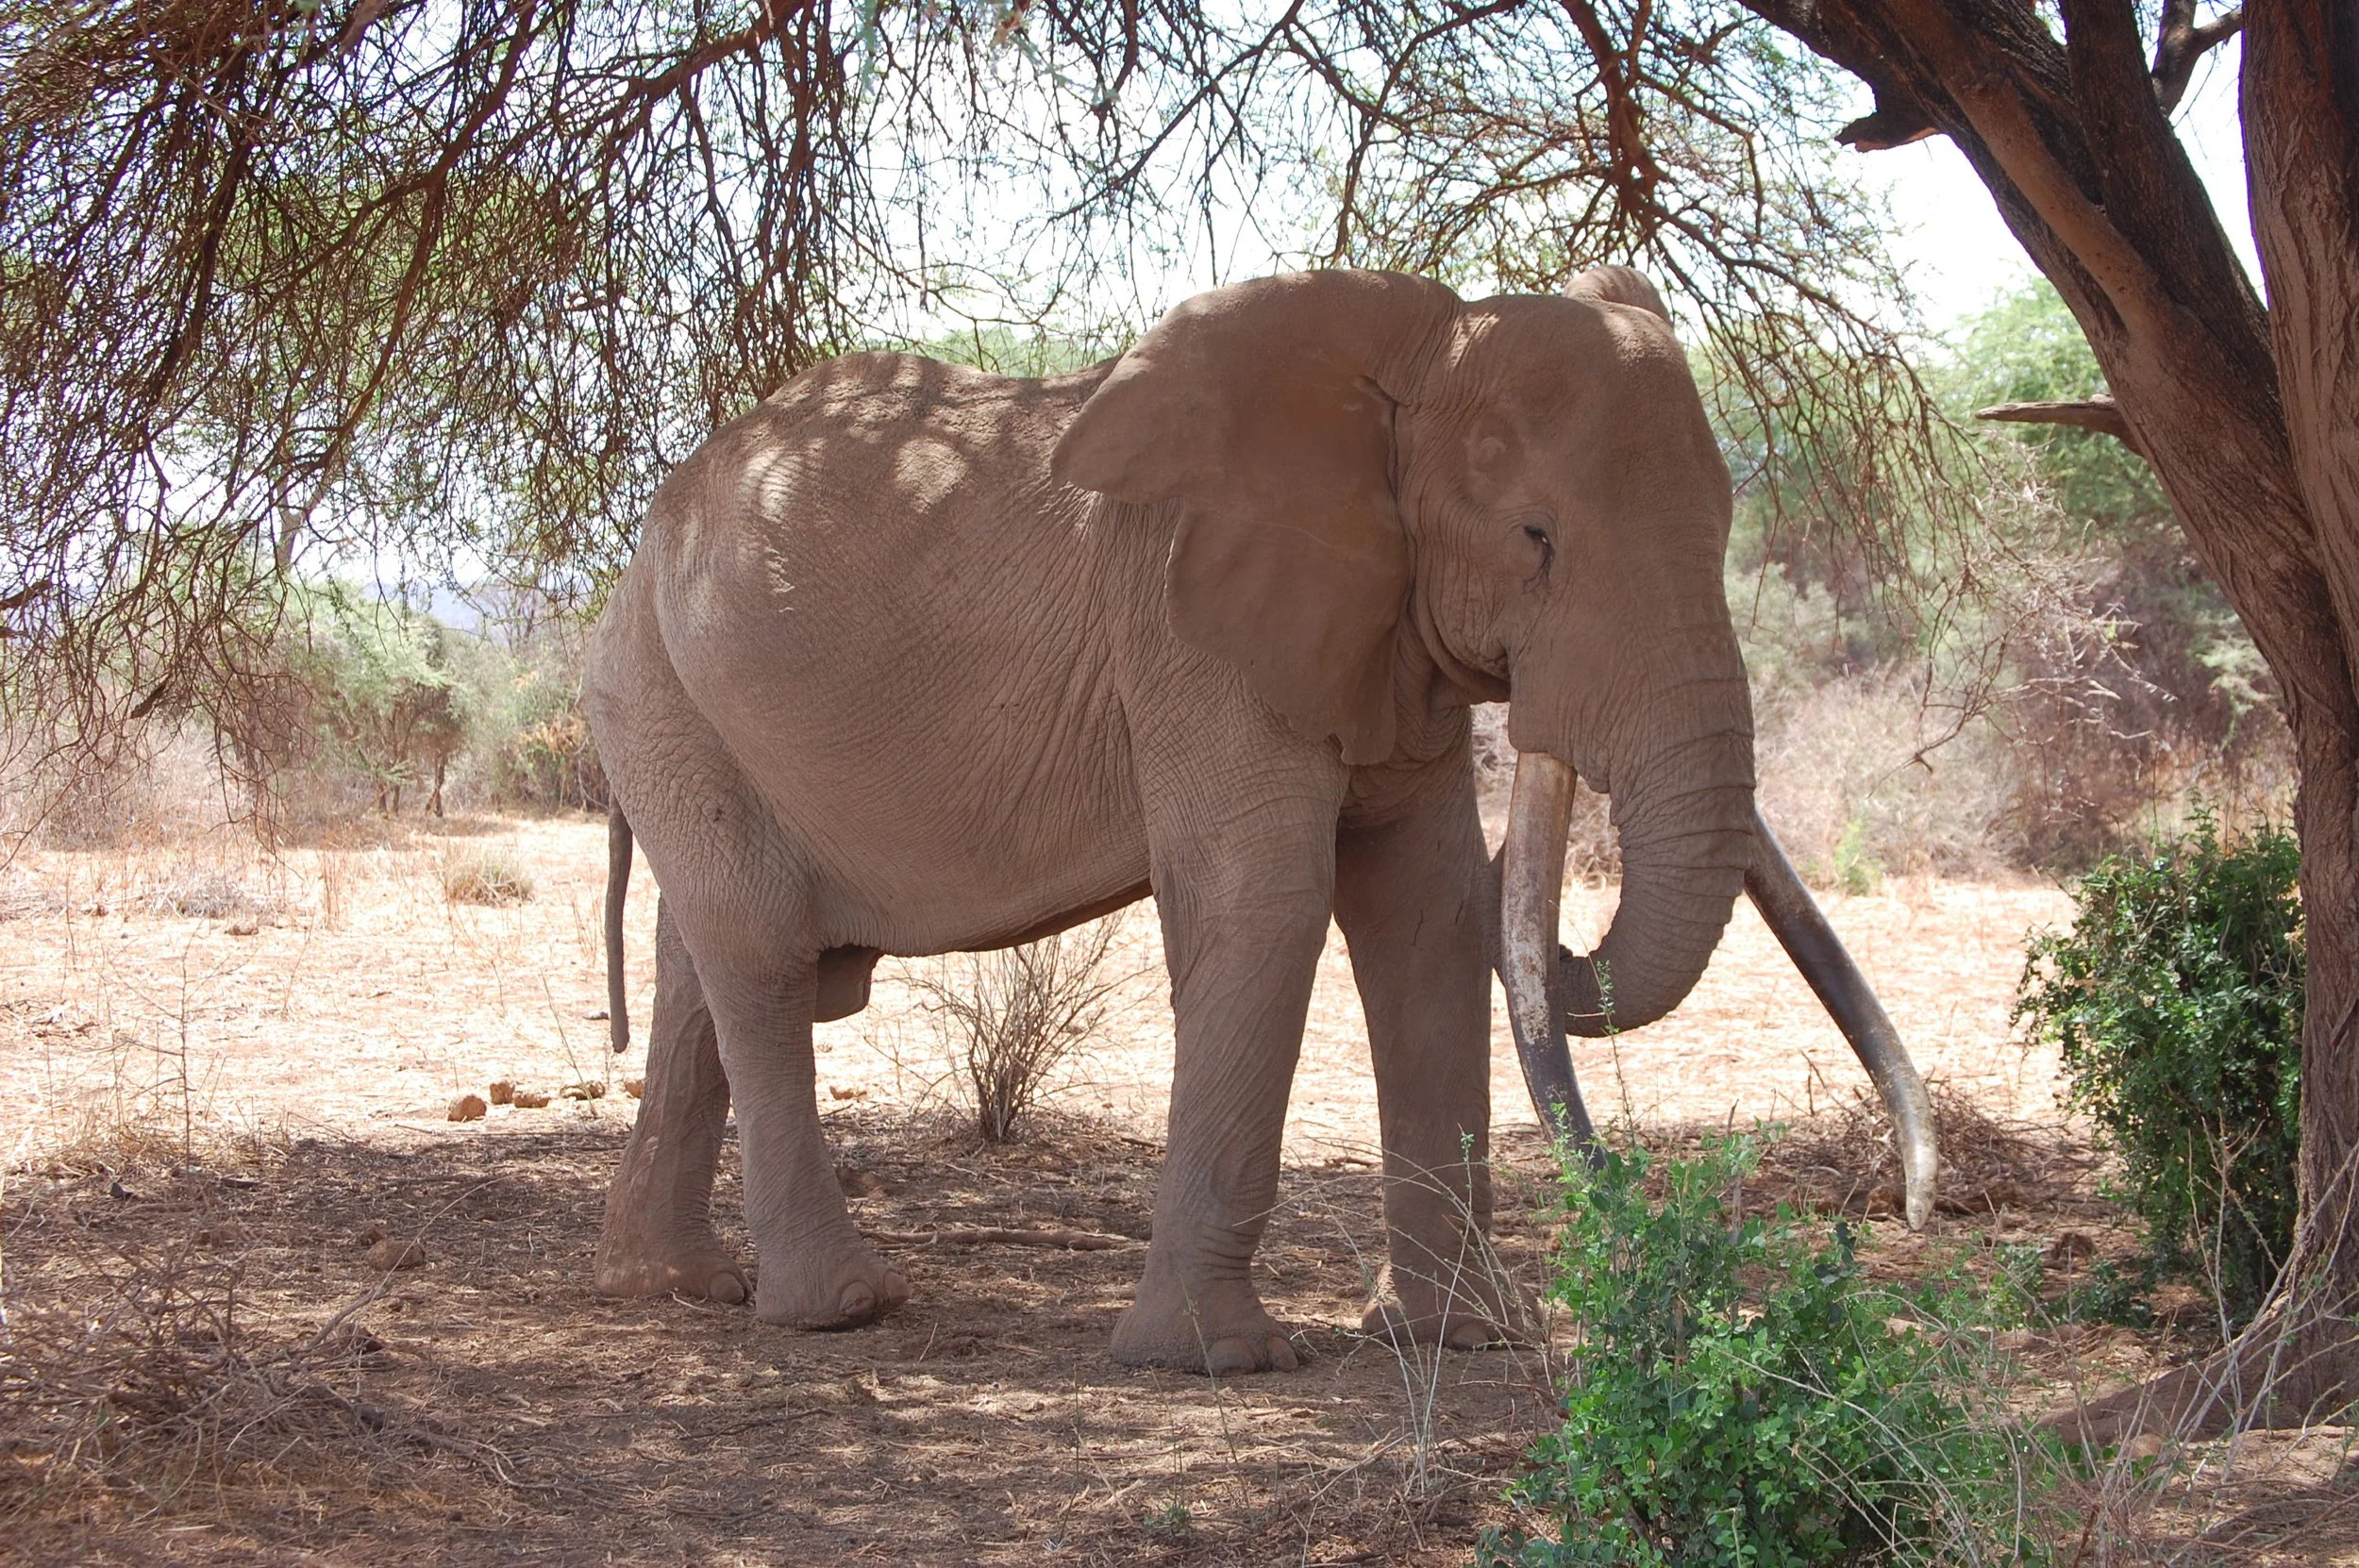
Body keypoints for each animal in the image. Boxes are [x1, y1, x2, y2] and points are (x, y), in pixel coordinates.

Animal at [582, 264, 1937, 1375]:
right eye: (1536, 538)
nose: (1909, 1217)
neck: (1396, 375)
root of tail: (639, 546)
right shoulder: (1191, 625)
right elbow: (1265, 903)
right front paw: (1210, 1361)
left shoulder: (1380, 631)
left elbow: (1431, 913)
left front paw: (1456, 1337)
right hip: (662, 690)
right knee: (758, 955)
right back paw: (841, 1309)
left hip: (672, 705)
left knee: (700, 965)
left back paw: (673, 1284)